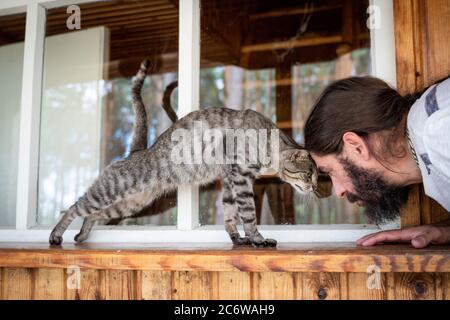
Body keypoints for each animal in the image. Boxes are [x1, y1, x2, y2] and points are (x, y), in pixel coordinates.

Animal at [49, 60, 322, 246]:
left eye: (316, 176)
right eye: (308, 175)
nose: (315, 189)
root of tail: (138, 151)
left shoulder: (229, 181)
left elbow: (230, 214)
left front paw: (237, 238)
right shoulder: (241, 177)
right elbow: (248, 214)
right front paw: (257, 239)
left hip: (129, 203)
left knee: (92, 214)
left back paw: (82, 235)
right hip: (113, 190)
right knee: (75, 205)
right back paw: (55, 235)